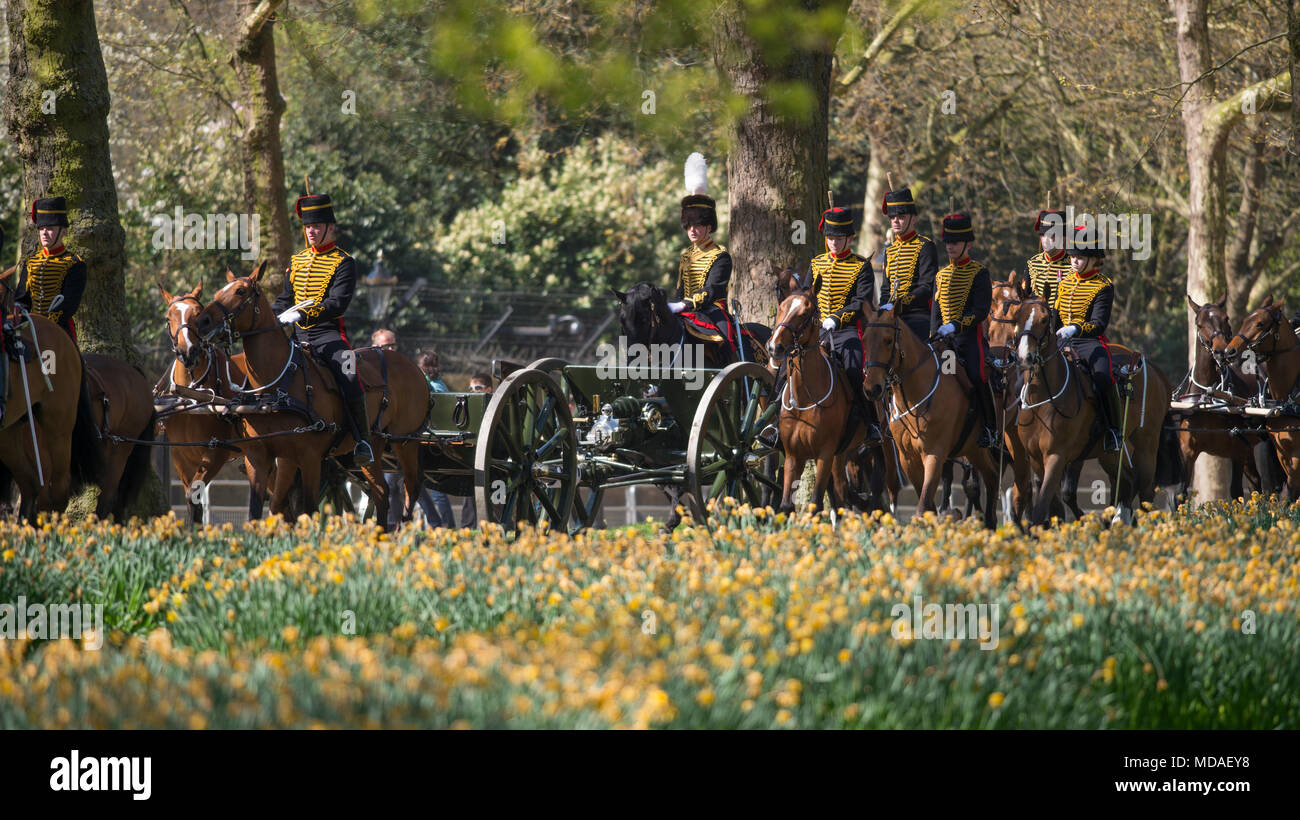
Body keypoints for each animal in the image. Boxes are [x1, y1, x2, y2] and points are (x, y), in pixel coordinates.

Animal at [157, 285, 274, 522]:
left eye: (197, 313)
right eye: (168, 317)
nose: (188, 351)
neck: (192, 395)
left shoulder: (216, 453)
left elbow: (194, 494)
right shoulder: (181, 456)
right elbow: (192, 502)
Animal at [192, 262, 426, 525]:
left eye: (240, 291)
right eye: (218, 291)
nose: (202, 322)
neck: (279, 383)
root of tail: (410, 365)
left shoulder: (310, 457)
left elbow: (310, 508)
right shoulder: (261, 456)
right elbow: (259, 511)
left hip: (405, 442)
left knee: (410, 489)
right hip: (375, 446)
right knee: (381, 494)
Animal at [863, 306, 993, 525]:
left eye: (888, 340)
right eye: (864, 339)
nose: (872, 389)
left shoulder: (935, 453)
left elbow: (922, 507)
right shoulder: (907, 458)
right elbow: (926, 505)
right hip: (974, 450)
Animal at [1008, 294, 1175, 525]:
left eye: (1043, 319)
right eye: (1016, 318)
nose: (1025, 357)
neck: (1042, 400)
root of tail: (1155, 371)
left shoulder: (1056, 456)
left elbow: (1043, 507)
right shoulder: (1035, 458)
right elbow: (1052, 504)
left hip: (1146, 445)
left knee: (1145, 493)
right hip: (1110, 454)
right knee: (1127, 482)